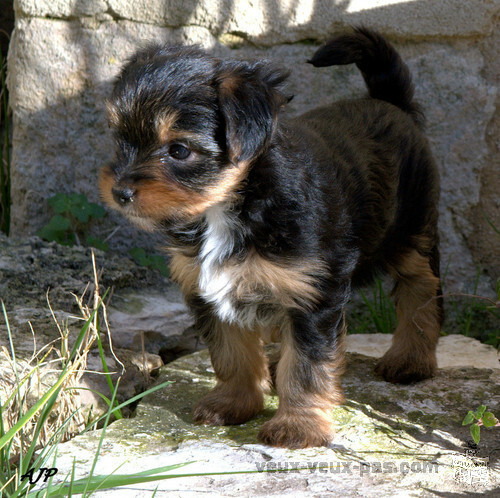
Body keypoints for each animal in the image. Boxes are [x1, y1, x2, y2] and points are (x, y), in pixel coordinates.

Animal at [100, 26, 442, 448]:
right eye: (121, 140)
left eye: (179, 150)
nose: (120, 192)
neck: (233, 202)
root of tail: (388, 103)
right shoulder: (208, 287)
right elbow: (231, 352)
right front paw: (235, 402)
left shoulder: (311, 292)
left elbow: (308, 364)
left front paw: (299, 425)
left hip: (409, 230)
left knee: (420, 287)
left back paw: (412, 358)